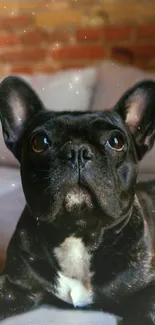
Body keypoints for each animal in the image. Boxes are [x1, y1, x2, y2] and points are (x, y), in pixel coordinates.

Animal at [0, 76, 155, 324]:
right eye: (39, 142)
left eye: (116, 141)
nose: (77, 151)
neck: (77, 232)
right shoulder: (14, 287)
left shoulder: (147, 291)